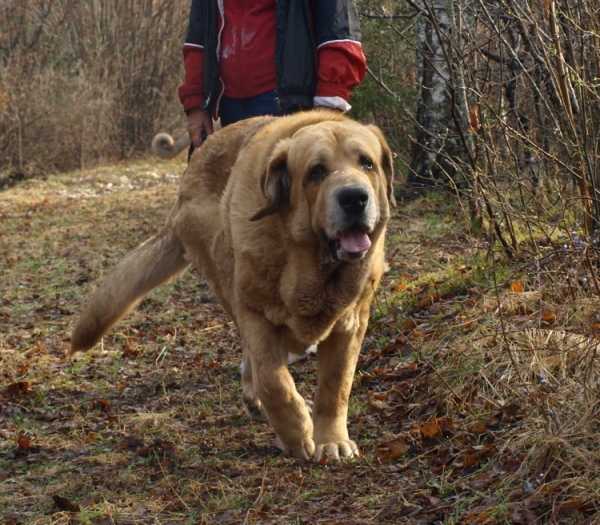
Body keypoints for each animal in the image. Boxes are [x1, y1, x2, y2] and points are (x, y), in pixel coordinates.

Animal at [70, 109, 396, 458]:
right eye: (316, 171)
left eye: (366, 163)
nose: (354, 197)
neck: (310, 266)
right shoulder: (256, 313)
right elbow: (273, 381)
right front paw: (295, 436)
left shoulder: (351, 323)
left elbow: (336, 386)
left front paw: (332, 441)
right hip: (224, 278)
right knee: (255, 363)